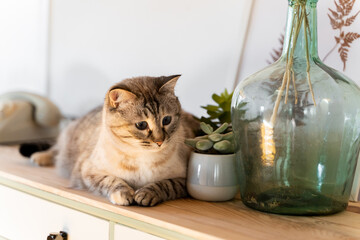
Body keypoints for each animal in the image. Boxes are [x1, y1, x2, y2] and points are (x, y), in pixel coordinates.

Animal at [30, 75, 200, 206]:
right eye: (142, 125)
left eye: (166, 120)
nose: (159, 141)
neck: (143, 157)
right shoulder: (89, 170)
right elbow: (112, 181)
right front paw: (125, 194)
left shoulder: (184, 180)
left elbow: (166, 184)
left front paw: (145, 194)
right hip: (68, 141)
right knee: (55, 150)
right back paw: (39, 157)